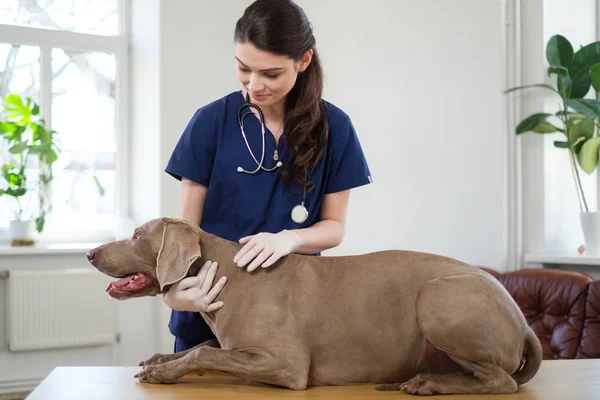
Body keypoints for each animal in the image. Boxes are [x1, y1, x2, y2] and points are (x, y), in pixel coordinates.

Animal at [86, 217, 540, 396]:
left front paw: (161, 373)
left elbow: (204, 352)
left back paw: (431, 383)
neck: (226, 270)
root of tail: (522, 321)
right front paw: (158, 360)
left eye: (136, 234)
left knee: (502, 381)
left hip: (436, 299)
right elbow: (199, 348)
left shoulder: (286, 365)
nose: (89, 253)